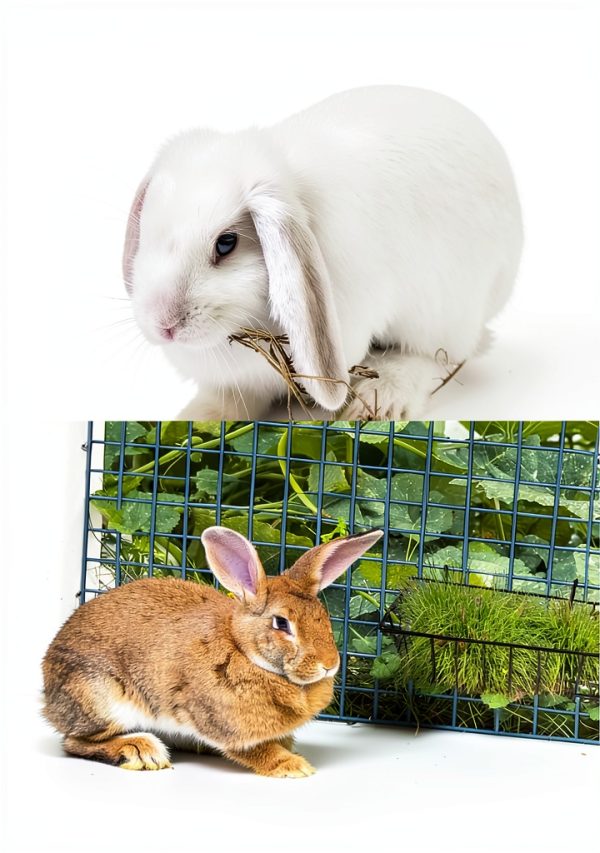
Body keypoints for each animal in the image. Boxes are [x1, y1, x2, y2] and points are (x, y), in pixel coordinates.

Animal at [42, 527, 383, 777]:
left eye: (323, 617)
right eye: (282, 623)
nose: (329, 664)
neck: (243, 651)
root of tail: (48, 696)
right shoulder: (223, 722)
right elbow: (255, 749)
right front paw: (294, 766)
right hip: (101, 697)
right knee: (74, 742)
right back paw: (140, 751)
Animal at [123, 85, 523, 419]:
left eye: (226, 243)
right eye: (147, 233)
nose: (165, 325)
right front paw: (196, 420)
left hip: (441, 313)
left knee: (432, 355)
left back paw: (376, 404)